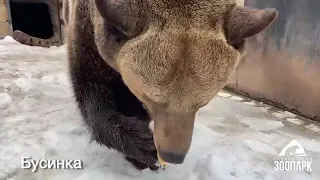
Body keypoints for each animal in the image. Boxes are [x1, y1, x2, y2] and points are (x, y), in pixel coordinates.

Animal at [65, 0, 278, 170]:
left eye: (202, 104)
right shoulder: (86, 30)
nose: (173, 155)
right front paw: (139, 143)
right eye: (149, 98)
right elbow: (92, 91)